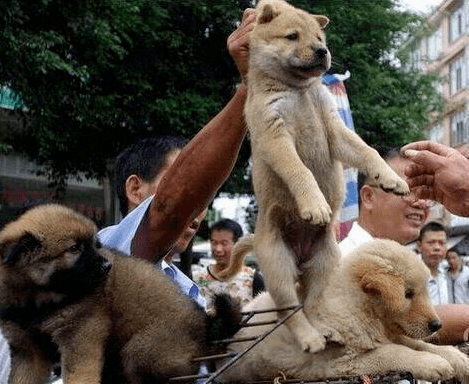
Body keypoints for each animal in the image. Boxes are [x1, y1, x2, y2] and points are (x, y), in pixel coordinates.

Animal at [218, 0, 408, 354]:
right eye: (292, 36)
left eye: (320, 37)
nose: (322, 51)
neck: (298, 90)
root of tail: (300, 257)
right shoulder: (275, 135)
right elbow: (300, 171)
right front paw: (315, 205)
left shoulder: (334, 130)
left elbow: (368, 152)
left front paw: (391, 179)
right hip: (278, 266)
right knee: (289, 311)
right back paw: (309, 338)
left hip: (326, 262)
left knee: (312, 304)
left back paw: (325, 330)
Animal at [221, 238, 468, 382]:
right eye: (408, 294)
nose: (437, 325)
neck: (360, 308)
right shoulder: (343, 362)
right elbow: (393, 353)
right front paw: (433, 364)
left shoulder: (392, 334)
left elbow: (419, 344)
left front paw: (457, 359)